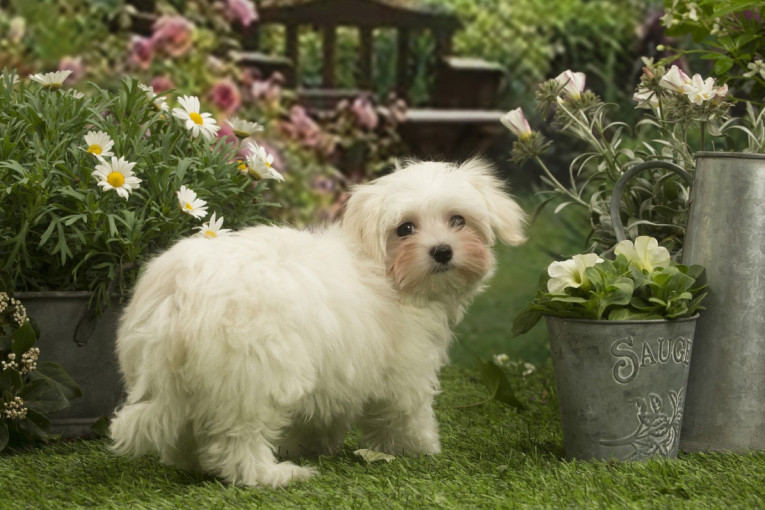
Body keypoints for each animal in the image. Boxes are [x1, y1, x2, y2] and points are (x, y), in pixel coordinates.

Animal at [109, 158, 524, 486]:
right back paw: (273, 475)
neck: (387, 271)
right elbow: (406, 414)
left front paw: (311, 445)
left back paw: (191, 463)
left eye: (458, 220)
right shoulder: (405, 369)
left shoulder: (339, 370)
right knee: (236, 442)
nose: (442, 251)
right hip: (253, 378)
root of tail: (180, 295)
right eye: (405, 228)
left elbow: (323, 415)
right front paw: (422, 448)